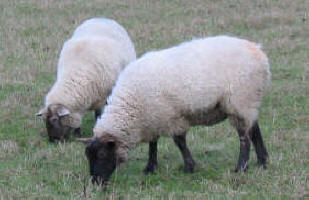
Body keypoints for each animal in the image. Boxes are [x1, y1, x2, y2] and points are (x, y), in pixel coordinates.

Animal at [79, 35, 270, 184]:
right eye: (88, 156)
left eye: (102, 155)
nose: (95, 182)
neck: (131, 106)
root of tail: (259, 52)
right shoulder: (153, 118)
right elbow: (153, 144)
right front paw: (150, 167)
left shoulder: (173, 117)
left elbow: (179, 142)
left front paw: (189, 166)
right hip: (248, 102)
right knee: (255, 129)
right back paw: (262, 162)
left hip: (240, 101)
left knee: (244, 137)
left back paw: (241, 167)